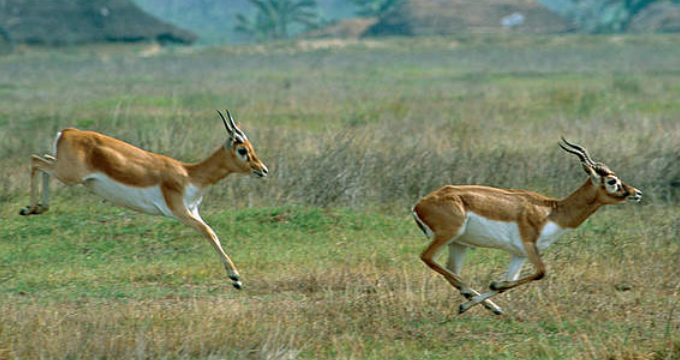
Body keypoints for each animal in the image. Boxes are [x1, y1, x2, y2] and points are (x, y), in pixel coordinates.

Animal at [18, 109, 268, 290]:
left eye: (252, 147)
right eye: (243, 150)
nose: (263, 170)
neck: (189, 174)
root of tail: (67, 132)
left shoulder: (193, 211)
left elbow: (212, 233)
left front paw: (235, 277)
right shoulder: (181, 212)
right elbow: (209, 233)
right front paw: (235, 278)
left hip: (64, 170)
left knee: (42, 159)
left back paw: (37, 208)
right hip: (68, 175)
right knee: (35, 160)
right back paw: (28, 208)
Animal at [412, 138, 640, 316]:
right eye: (612, 181)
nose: (636, 193)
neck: (551, 211)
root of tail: (419, 204)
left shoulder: (519, 254)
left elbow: (509, 281)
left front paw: (488, 298)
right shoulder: (530, 246)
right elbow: (540, 272)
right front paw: (493, 285)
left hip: (459, 244)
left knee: (452, 271)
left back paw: (481, 304)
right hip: (448, 235)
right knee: (427, 258)